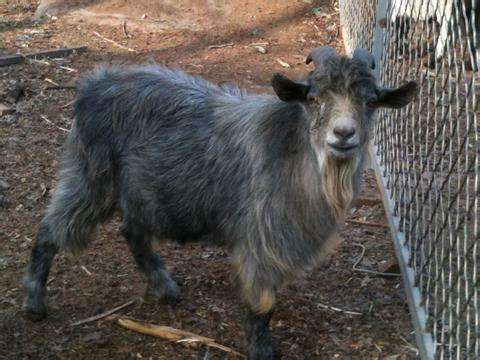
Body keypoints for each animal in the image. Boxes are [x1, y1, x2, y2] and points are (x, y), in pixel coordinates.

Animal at [24, 46, 418, 358]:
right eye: (313, 98)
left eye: (370, 101)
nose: (344, 134)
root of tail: (93, 85)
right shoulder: (261, 239)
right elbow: (262, 303)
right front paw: (262, 350)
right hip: (91, 178)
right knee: (50, 231)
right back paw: (33, 303)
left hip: (142, 192)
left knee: (132, 232)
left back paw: (165, 288)